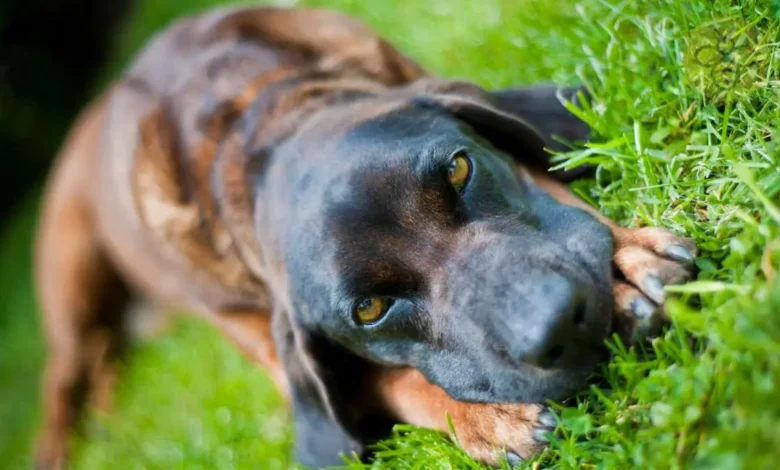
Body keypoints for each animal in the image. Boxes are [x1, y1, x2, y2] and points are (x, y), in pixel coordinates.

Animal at [33, 4, 696, 470]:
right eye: (370, 309)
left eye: (459, 170)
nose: (559, 321)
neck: (253, 122)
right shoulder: (271, 348)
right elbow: (393, 381)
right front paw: (486, 419)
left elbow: (547, 179)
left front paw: (627, 264)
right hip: (70, 285)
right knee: (65, 375)